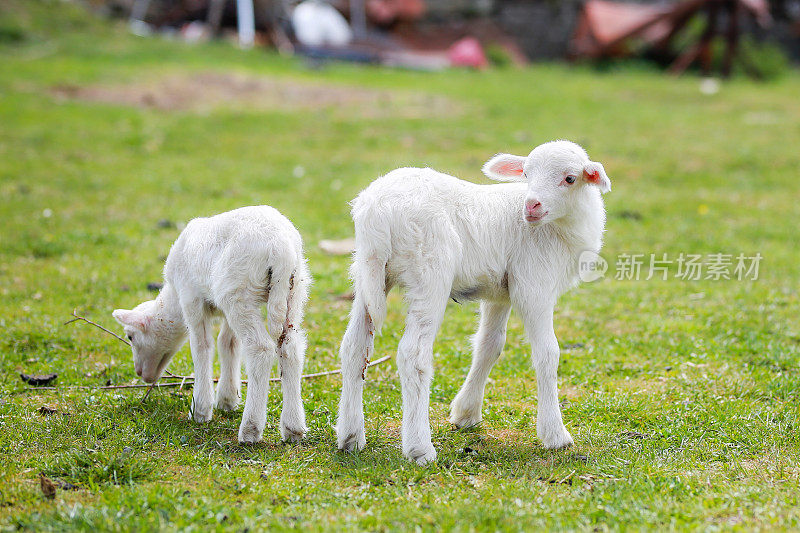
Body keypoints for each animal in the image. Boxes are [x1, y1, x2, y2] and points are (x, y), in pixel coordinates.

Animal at [111, 206, 310, 442]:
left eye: (130, 336)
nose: (141, 373)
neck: (173, 301)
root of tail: (281, 251)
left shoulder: (191, 298)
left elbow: (202, 347)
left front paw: (200, 410)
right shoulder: (224, 311)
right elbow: (228, 344)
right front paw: (227, 399)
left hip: (238, 291)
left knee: (260, 349)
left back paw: (250, 429)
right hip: (293, 291)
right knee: (290, 348)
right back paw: (293, 428)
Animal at [334, 139, 608, 464]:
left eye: (569, 178)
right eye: (526, 174)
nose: (531, 206)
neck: (561, 226)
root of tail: (376, 212)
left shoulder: (500, 291)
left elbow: (489, 346)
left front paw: (466, 414)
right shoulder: (534, 284)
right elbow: (547, 354)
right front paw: (555, 435)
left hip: (367, 273)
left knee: (354, 347)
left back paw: (350, 436)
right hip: (430, 270)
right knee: (413, 355)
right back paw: (419, 448)